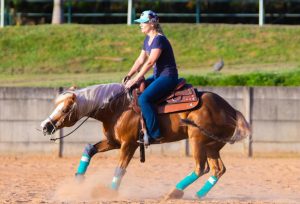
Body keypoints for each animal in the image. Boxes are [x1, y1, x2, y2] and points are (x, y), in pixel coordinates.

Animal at [39, 82, 251, 200]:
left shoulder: (129, 144)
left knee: (201, 167)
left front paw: (110, 192)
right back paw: (199, 195)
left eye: (64, 109)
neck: (118, 108)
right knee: (218, 169)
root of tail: (231, 109)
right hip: (211, 146)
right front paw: (78, 180)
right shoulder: (113, 142)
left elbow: (120, 168)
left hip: (197, 140)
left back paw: (173, 193)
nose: (45, 125)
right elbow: (89, 149)